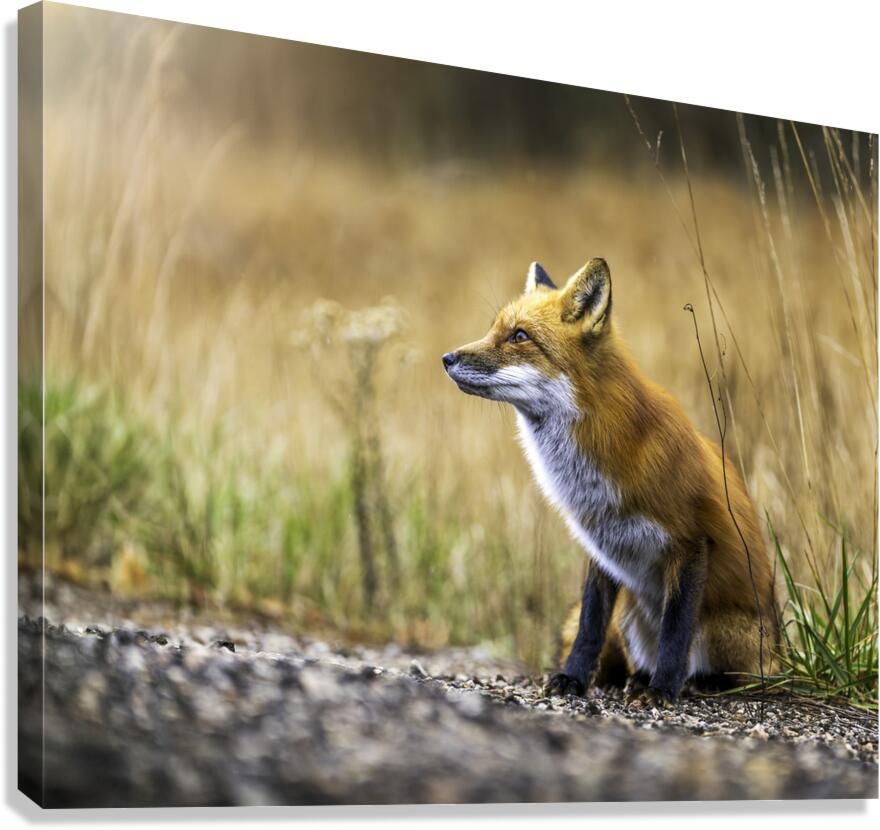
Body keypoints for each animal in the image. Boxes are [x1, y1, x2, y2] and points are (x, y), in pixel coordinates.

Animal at [442, 258, 778, 704]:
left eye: (519, 336)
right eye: (494, 329)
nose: (446, 358)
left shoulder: (691, 542)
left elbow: (676, 631)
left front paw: (664, 689)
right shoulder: (602, 543)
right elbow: (589, 625)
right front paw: (573, 678)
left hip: (730, 632)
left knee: (742, 669)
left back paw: (700, 681)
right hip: (630, 614)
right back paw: (639, 677)